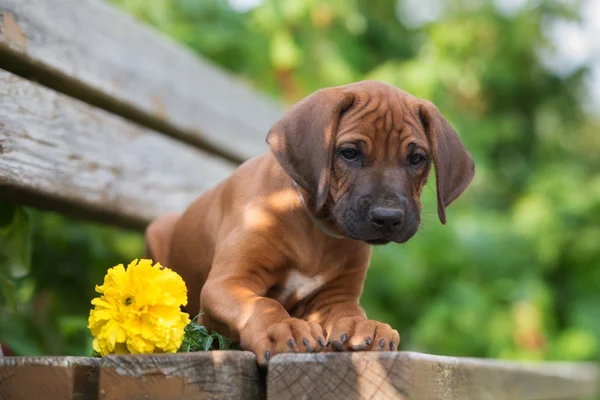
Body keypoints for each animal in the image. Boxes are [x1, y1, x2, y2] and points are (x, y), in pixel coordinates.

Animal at [144, 79, 474, 364]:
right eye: (349, 153)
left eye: (417, 158)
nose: (388, 218)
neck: (319, 231)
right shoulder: (228, 282)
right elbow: (264, 303)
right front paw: (282, 329)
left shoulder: (336, 297)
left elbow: (350, 313)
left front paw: (364, 326)